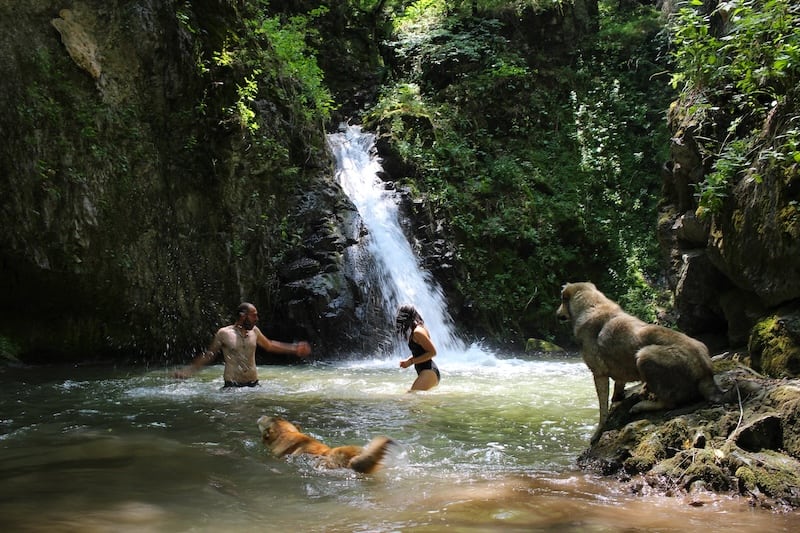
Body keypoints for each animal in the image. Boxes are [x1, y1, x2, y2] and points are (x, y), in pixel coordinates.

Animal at [556, 282, 724, 440]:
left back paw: (641, 405)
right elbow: (616, 391)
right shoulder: (617, 375)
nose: (557, 314)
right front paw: (618, 400)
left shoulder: (599, 374)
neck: (592, 305)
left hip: (644, 356)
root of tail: (706, 372)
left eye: (562, 300)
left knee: (669, 403)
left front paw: (597, 433)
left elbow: (602, 410)